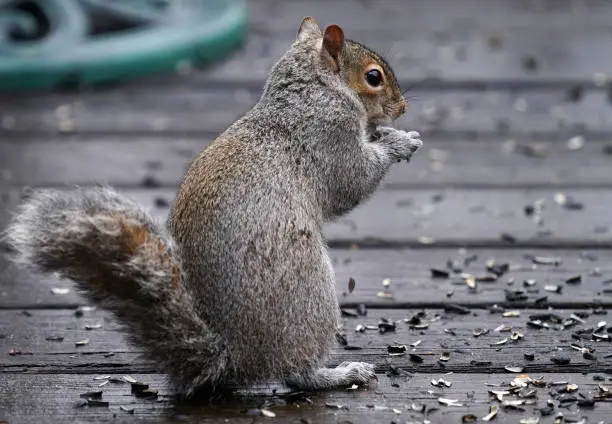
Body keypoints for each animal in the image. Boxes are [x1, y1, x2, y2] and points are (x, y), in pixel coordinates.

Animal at [2, 17, 424, 398]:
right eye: (373, 77)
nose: (403, 107)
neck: (309, 90)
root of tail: (233, 359)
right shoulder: (329, 133)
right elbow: (352, 181)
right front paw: (400, 142)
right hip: (307, 294)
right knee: (295, 372)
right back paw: (339, 374)